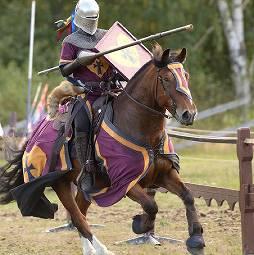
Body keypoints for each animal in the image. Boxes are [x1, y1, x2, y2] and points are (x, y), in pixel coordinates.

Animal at [0, 44, 204, 254]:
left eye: (186, 76)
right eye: (165, 78)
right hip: (60, 182)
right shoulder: (125, 183)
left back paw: (90, 248)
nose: (189, 114)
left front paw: (196, 238)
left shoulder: (165, 174)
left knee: (80, 212)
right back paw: (100, 249)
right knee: (77, 217)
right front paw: (140, 225)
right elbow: (151, 205)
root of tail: (34, 134)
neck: (140, 129)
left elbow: (188, 196)